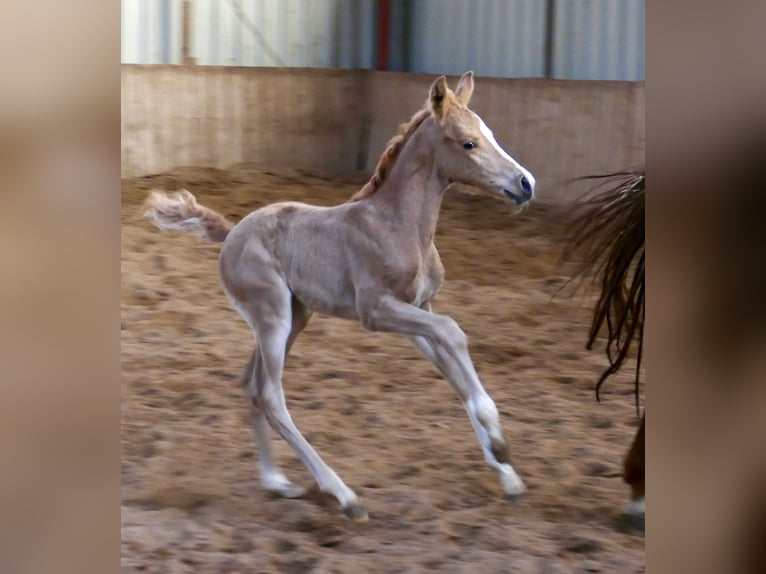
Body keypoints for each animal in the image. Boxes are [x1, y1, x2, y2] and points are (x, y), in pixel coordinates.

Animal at [143, 72, 536, 522]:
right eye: (468, 143)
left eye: (490, 134)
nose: (526, 184)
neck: (398, 226)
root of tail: (230, 233)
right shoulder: (376, 310)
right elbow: (454, 332)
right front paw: (501, 443)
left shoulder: (417, 308)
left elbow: (454, 372)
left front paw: (506, 471)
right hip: (273, 317)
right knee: (270, 395)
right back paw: (344, 495)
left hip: (296, 317)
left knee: (251, 385)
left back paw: (276, 481)